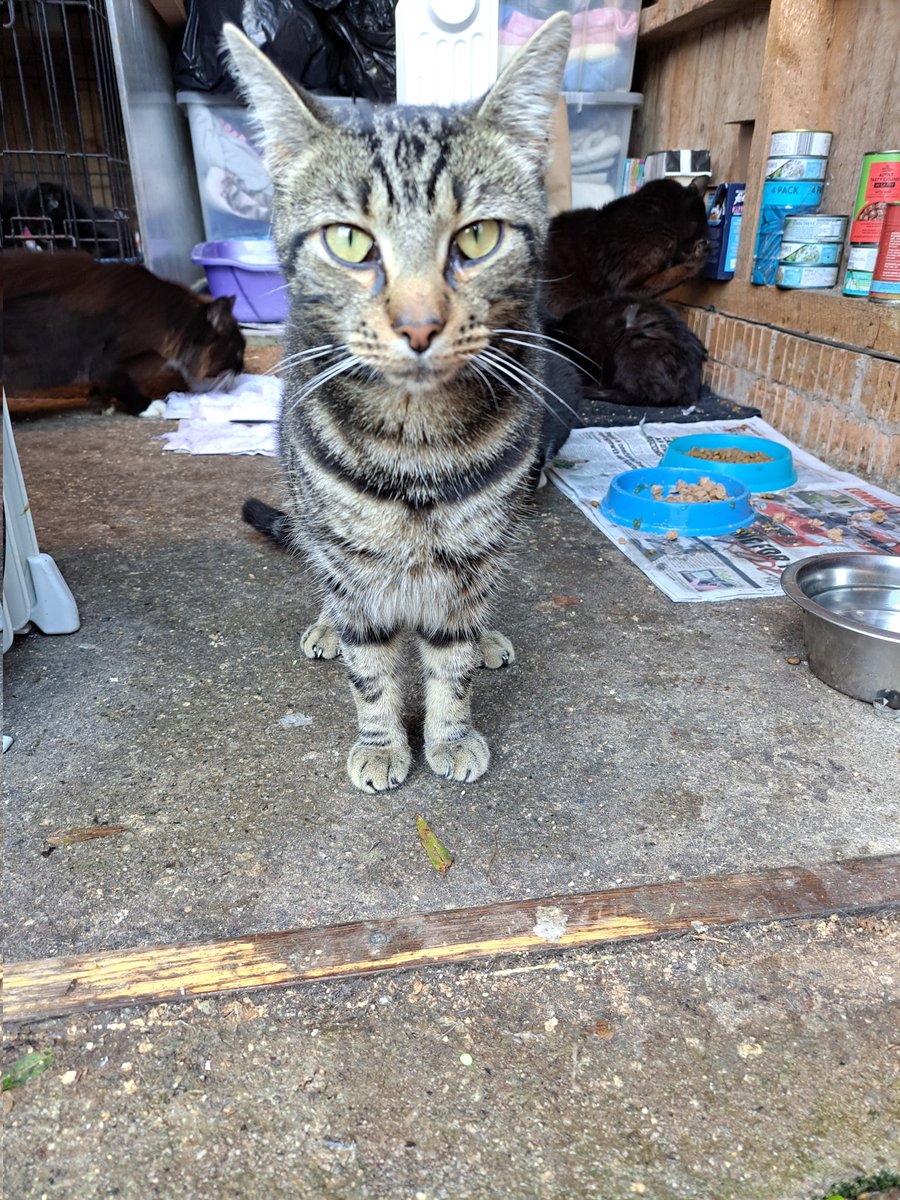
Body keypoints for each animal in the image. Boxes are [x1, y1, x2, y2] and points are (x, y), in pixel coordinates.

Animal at [2, 247, 247, 412]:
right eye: (238, 351)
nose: (242, 367)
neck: (170, 317)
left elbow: (102, 386)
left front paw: (101, 403)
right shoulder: (108, 361)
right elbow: (124, 385)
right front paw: (148, 407)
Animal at [229, 16, 573, 796]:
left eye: (477, 236)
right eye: (350, 241)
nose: (419, 325)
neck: (417, 446)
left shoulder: (470, 559)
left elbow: (452, 661)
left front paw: (451, 733)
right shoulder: (353, 564)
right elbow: (371, 669)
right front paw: (384, 742)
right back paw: (326, 625)